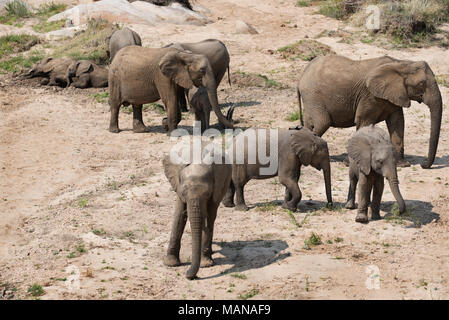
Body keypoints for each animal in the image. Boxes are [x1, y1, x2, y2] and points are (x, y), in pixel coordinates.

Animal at [163, 142, 231, 280]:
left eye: (207, 194)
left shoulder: (215, 189)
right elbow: (178, 215)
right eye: (184, 192)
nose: (187, 275)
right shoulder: (178, 185)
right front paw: (171, 264)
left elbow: (210, 214)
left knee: (212, 216)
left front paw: (206, 264)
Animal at [298, 54, 440, 170]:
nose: (423, 165)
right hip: (313, 95)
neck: (401, 63)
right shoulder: (369, 95)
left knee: (311, 124)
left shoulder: (395, 94)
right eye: (422, 83)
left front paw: (402, 165)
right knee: (323, 122)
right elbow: (364, 122)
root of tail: (303, 73)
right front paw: (350, 163)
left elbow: (397, 123)